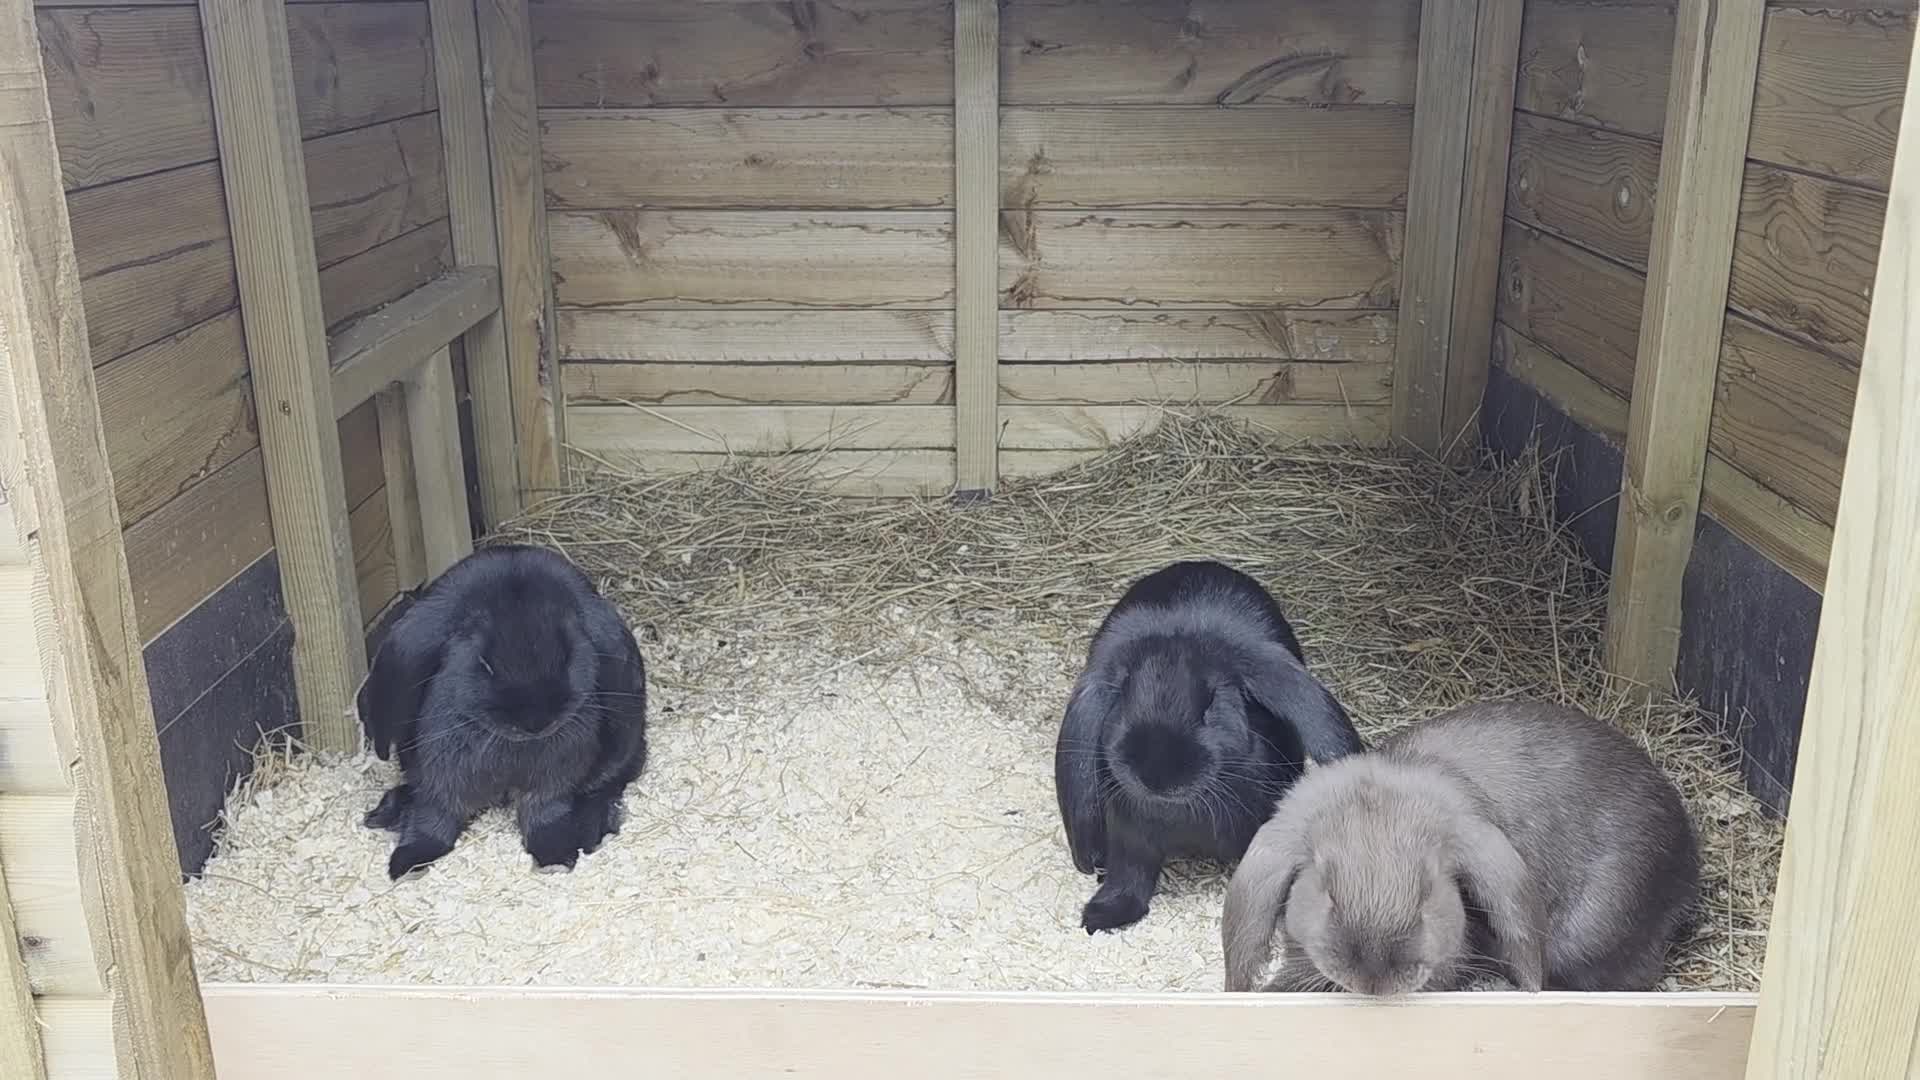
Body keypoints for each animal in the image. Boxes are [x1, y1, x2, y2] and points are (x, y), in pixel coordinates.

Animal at [358, 543, 649, 881]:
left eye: (567, 656)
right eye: (485, 664)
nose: (536, 722)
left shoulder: (552, 781)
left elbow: (546, 814)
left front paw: (555, 857)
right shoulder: (442, 778)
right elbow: (435, 816)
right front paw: (408, 862)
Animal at [1054, 560, 1364, 934]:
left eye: (1209, 706)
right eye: (1124, 700)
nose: (1157, 777)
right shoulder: (1129, 836)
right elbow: (1130, 878)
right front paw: (1100, 916)